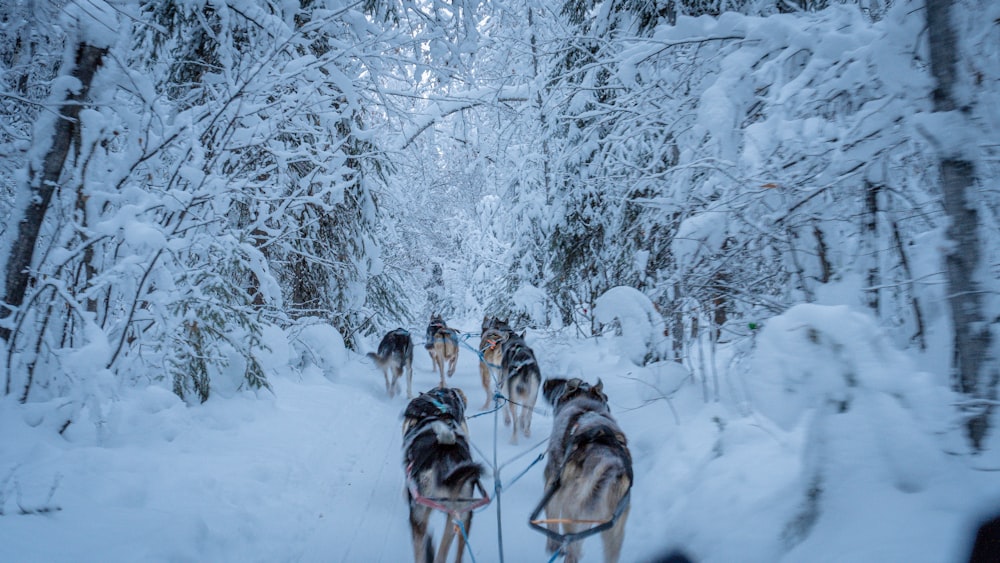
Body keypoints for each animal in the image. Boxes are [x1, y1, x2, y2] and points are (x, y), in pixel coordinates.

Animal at [540, 378, 632, 563]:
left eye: (561, 387)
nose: (545, 383)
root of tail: (609, 464)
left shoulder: (551, 485)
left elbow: (551, 522)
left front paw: (553, 546)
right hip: (613, 531)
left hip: (572, 516)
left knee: (572, 551)